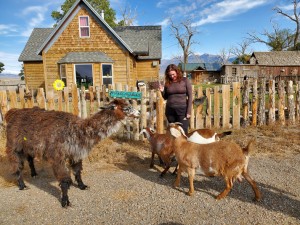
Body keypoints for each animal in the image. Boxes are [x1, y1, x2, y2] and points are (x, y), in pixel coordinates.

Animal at [4, 98, 139, 207]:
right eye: (127, 108)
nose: (138, 113)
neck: (78, 131)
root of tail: (13, 112)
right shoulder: (58, 156)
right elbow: (65, 181)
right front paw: (65, 201)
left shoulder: (76, 154)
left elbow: (78, 171)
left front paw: (82, 186)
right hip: (14, 144)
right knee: (16, 163)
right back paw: (22, 185)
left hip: (28, 145)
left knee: (30, 158)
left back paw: (34, 174)